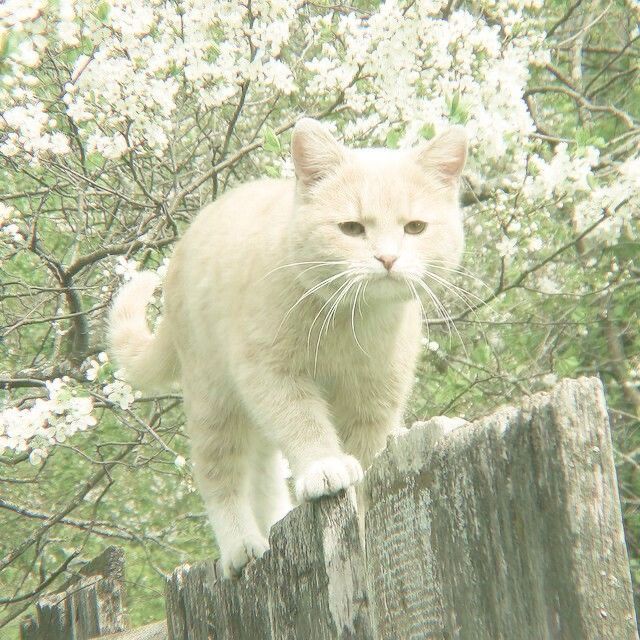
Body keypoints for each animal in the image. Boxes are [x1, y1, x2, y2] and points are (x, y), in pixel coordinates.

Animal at [110, 117, 468, 576]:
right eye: (352, 229)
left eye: (415, 228)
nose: (387, 259)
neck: (351, 321)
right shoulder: (271, 373)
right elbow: (304, 423)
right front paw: (324, 466)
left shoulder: (377, 394)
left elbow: (366, 447)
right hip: (214, 397)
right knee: (220, 473)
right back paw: (241, 544)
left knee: (263, 474)